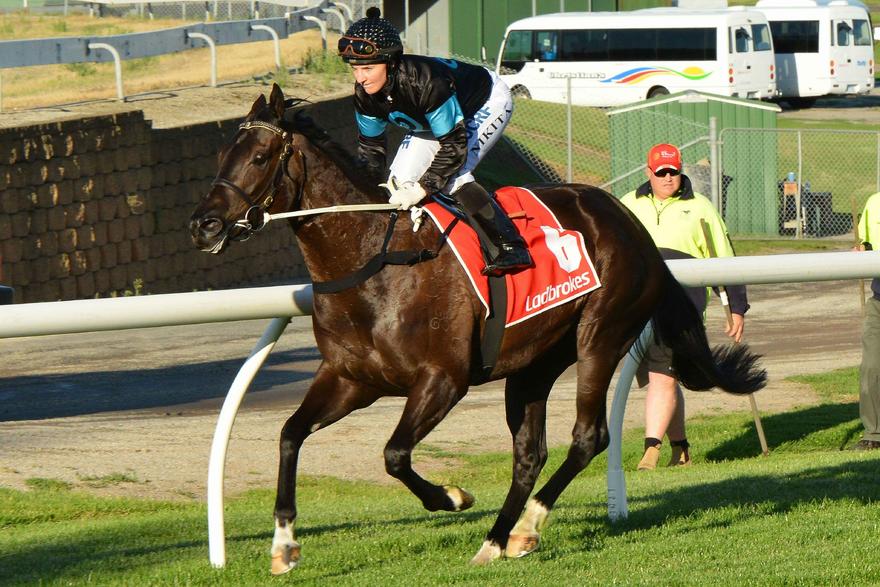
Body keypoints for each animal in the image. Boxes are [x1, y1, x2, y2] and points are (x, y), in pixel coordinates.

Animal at [189, 83, 766, 574]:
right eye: (220, 157)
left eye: (260, 157)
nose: (203, 225)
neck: (375, 259)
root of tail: (634, 227)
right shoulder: (353, 378)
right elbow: (290, 434)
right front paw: (284, 545)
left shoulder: (443, 379)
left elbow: (394, 455)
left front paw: (452, 496)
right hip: (534, 364)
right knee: (529, 454)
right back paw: (497, 539)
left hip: (600, 336)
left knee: (588, 436)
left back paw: (524, 528)